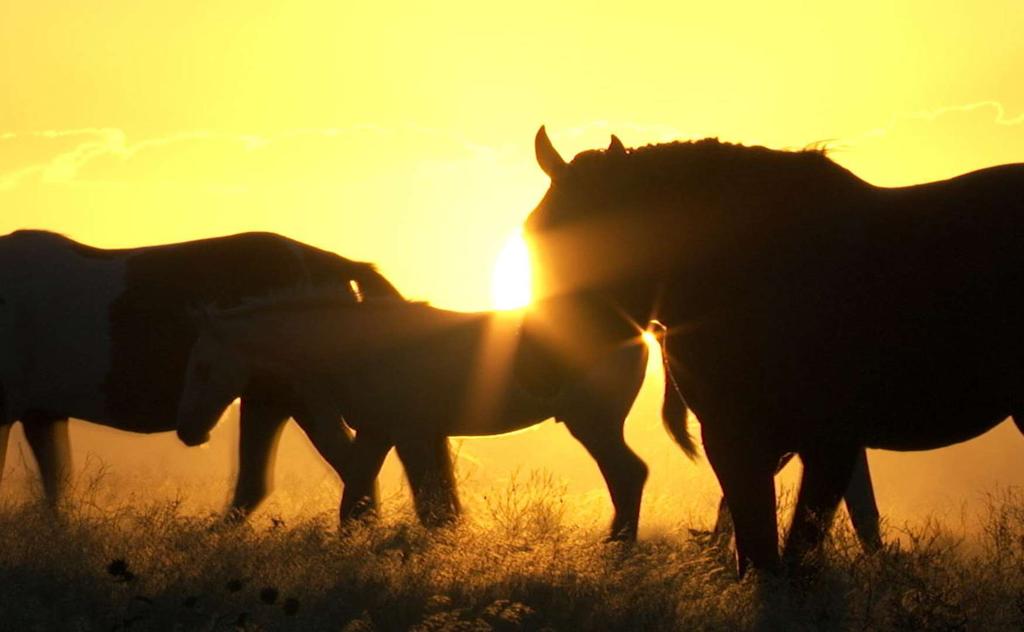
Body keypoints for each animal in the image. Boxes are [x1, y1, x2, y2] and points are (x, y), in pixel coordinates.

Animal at [0, 229, 399, 514]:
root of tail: (334, 264)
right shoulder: (42, 414)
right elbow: (58, 493)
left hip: (298, 399)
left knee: (352, 473)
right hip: (268, 402)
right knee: (259, 486)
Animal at [524, 125, 1024, 573]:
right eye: (532, 233)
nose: (540, 365)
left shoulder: (830, 443)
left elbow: (796, 557)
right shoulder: (731, 439)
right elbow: (758, 554)